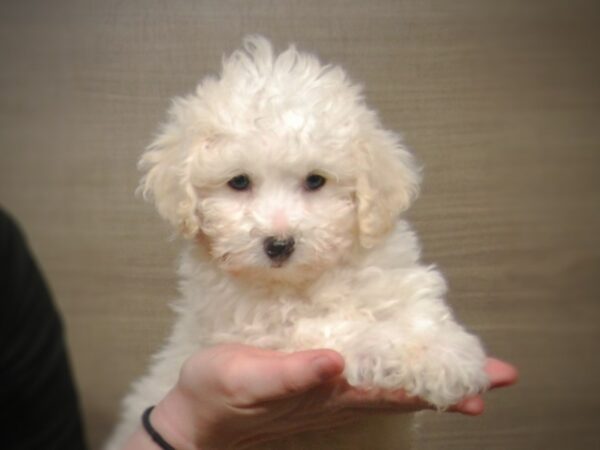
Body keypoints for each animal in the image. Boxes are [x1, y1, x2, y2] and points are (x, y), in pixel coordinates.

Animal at [108, 37, 490, 448]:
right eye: (238, 182)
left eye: (315, 180)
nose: (279, 245)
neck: (305, 279)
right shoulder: (261, 330)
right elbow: (336, 328)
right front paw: (388, 346)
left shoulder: (392, 272)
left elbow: (417, 306)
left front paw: (443, 353)